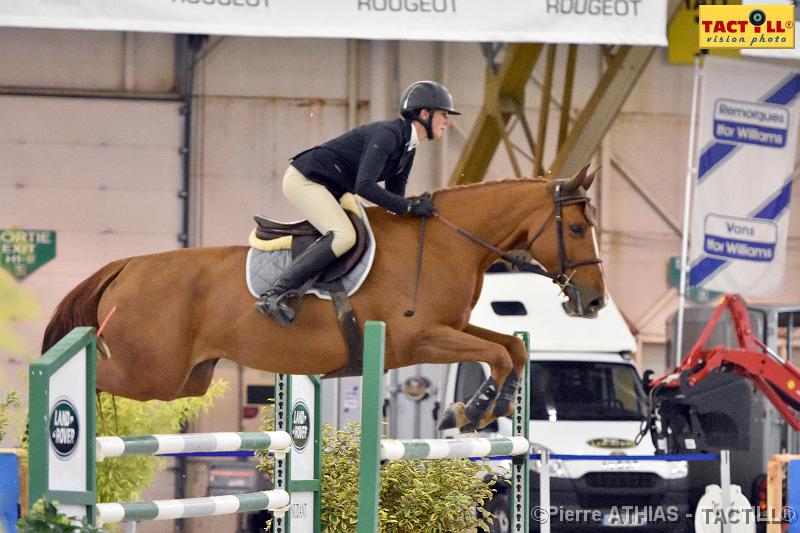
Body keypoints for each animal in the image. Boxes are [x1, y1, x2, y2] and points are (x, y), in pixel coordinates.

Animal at [40, 168, 604, 430]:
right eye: (577, 228)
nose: (595, 302)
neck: (448, 241)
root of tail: (128, 265)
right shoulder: (419, 339)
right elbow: (496, 353)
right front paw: (471, 411)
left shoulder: (452, 329)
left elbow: (514, 348)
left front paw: (489, 408)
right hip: (150, 373)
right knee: (83, 369)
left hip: (186, 379)